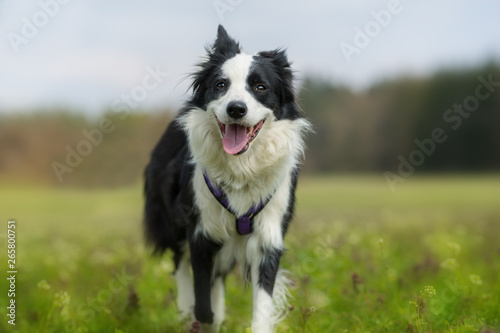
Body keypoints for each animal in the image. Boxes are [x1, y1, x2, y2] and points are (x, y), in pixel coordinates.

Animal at [143, 24, 310, 330]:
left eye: (260, 87)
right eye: (221, 85)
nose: (236, 109)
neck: (242, 167)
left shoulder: (268, 239)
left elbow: (261, 311)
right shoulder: (201, 233)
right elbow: (203, 308)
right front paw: (199, 317)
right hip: (173, 222)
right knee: (180, 265)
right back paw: (185, 310)